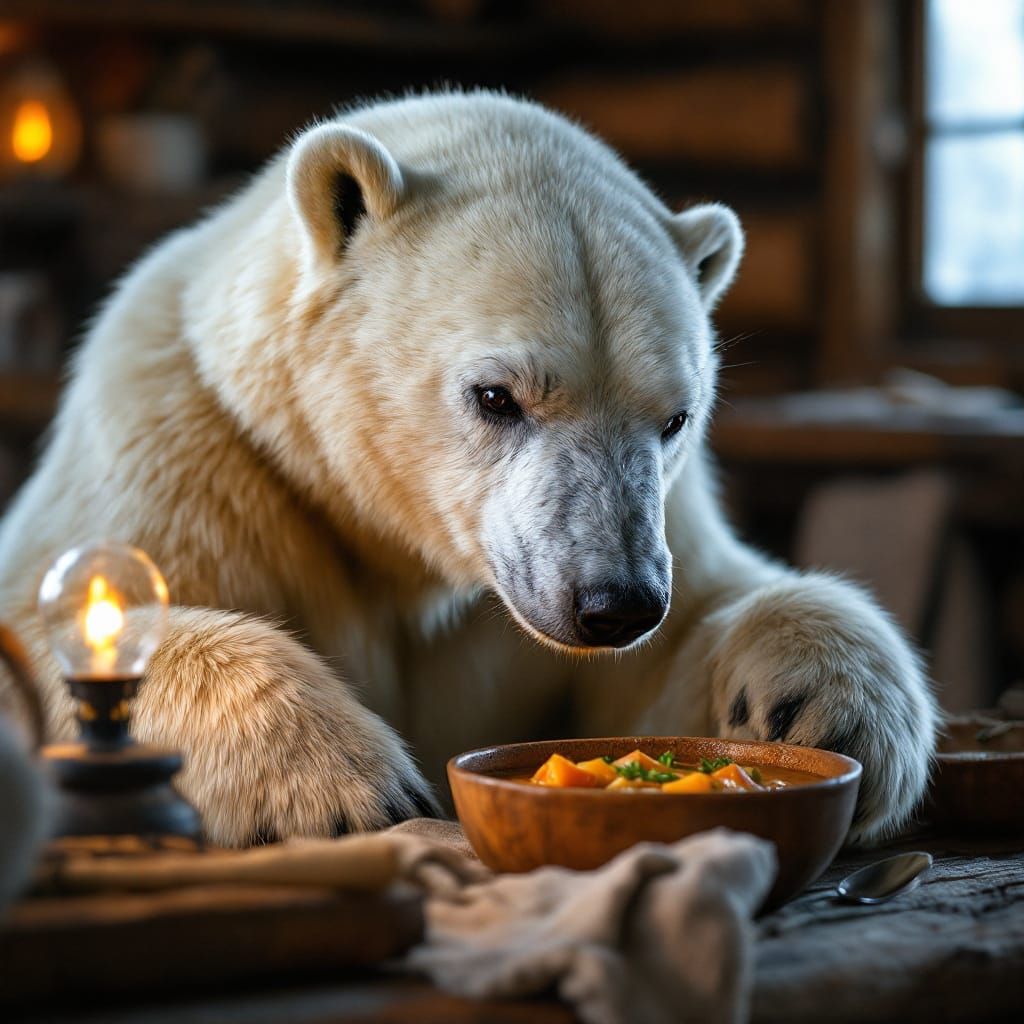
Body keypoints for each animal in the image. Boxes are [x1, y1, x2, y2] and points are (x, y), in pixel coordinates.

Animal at [0, 91, 937, 845]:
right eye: (496, 396)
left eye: (676, 417)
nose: (616, 601)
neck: (394, 552)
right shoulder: (193, 448)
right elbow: (78, 617)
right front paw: (349, 787)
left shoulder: (659, 532)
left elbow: (680, 651)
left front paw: (827, 715)